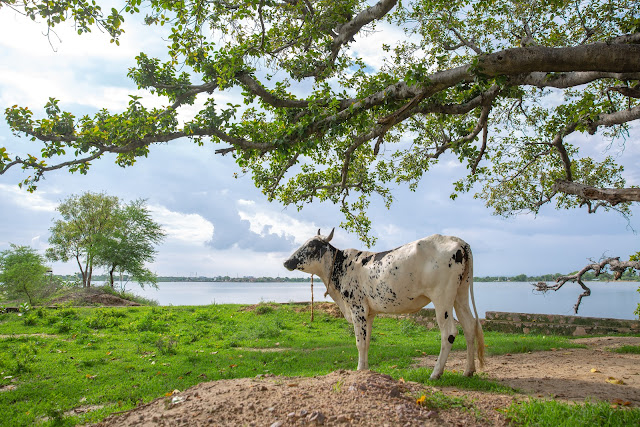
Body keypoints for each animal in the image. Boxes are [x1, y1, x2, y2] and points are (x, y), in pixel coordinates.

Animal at [284, 229, 484, 380]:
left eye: (312, 245)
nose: (287, 261)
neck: (341, 267)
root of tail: (457, 241)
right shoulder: (369, 313)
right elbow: (367, 341)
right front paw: (365, 369)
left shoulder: (357, 308)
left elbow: (359, 342)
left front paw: (359, 369)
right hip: (460, 294)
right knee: (469, 325)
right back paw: (468, 371)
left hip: (442, 297)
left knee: (449, 332)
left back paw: (435, 373)